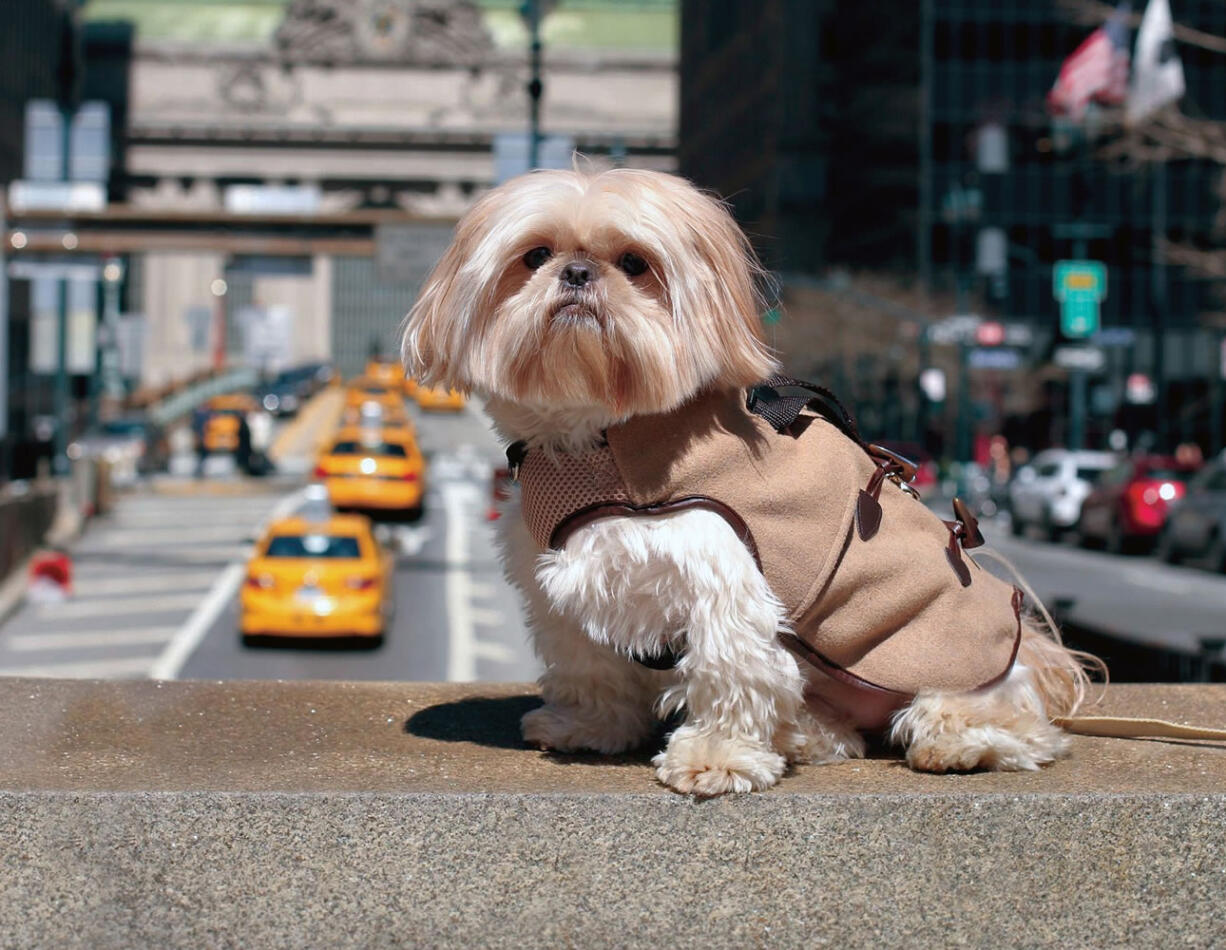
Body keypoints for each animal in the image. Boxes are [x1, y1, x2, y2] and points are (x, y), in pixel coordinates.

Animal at [402, 165, 1103, 794]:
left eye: (635, 263)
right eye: (536, 255)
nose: (576, 272)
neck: (602, 441)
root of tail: (1039, 654)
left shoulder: (722, 570)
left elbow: (729, 667)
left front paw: (717, 756)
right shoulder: (567, 579)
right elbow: (588, 660)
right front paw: (591, 726)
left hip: (946, 659)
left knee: (1010, 726)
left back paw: (956, 739)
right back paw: (809, 734)